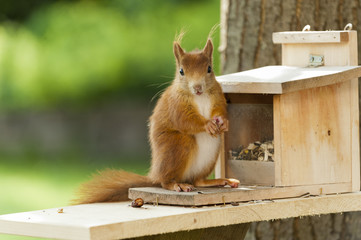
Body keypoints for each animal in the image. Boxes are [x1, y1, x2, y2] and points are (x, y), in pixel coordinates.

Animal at [74, 36, 239, 204]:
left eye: (209, 69)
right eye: (181, 71)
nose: (198, 87)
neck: (200, 97)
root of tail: (155, 176)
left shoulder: (218, 96)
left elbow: (220, 110)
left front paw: (223, 122)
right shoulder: (176, 105)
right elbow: (185, 120)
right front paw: (207, 124)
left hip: (211, 155)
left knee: (197, 181)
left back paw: (219, 181)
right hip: (177, 146)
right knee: (166, 181)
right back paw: (177, 185)